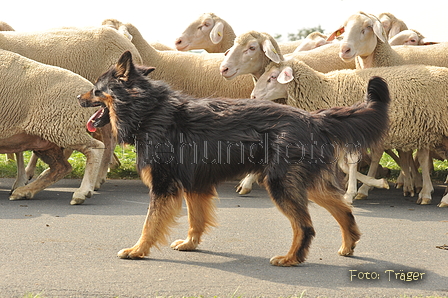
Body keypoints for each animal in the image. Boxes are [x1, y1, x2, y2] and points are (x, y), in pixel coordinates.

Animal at [0, 49, 110, 205]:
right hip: (46, 138)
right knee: (62, 167)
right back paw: (24, 191)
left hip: (62, 127)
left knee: (95, 148)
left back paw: (82, 192)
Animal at [78, 51, 388, 268]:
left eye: (96, 89)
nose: (78, 97)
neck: (147, 110)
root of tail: (313, 118)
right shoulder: (195, 185)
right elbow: (195, 219)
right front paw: (191, 244)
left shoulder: (164, 186)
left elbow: (149, 224)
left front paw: (137, 250)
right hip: (307, 183)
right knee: (343, 208)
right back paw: (348, 244)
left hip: (281, 184)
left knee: (305, 226)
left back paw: (291, 258)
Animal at [250, 58, 448, 207]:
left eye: (273, 77)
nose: (252, 96)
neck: (326, 90)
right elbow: (343, 164)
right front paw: (371, 184)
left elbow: (351, 162)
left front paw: (350, 193)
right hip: (427, 132)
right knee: (420, 158)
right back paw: (424, 192)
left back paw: (438, 196)